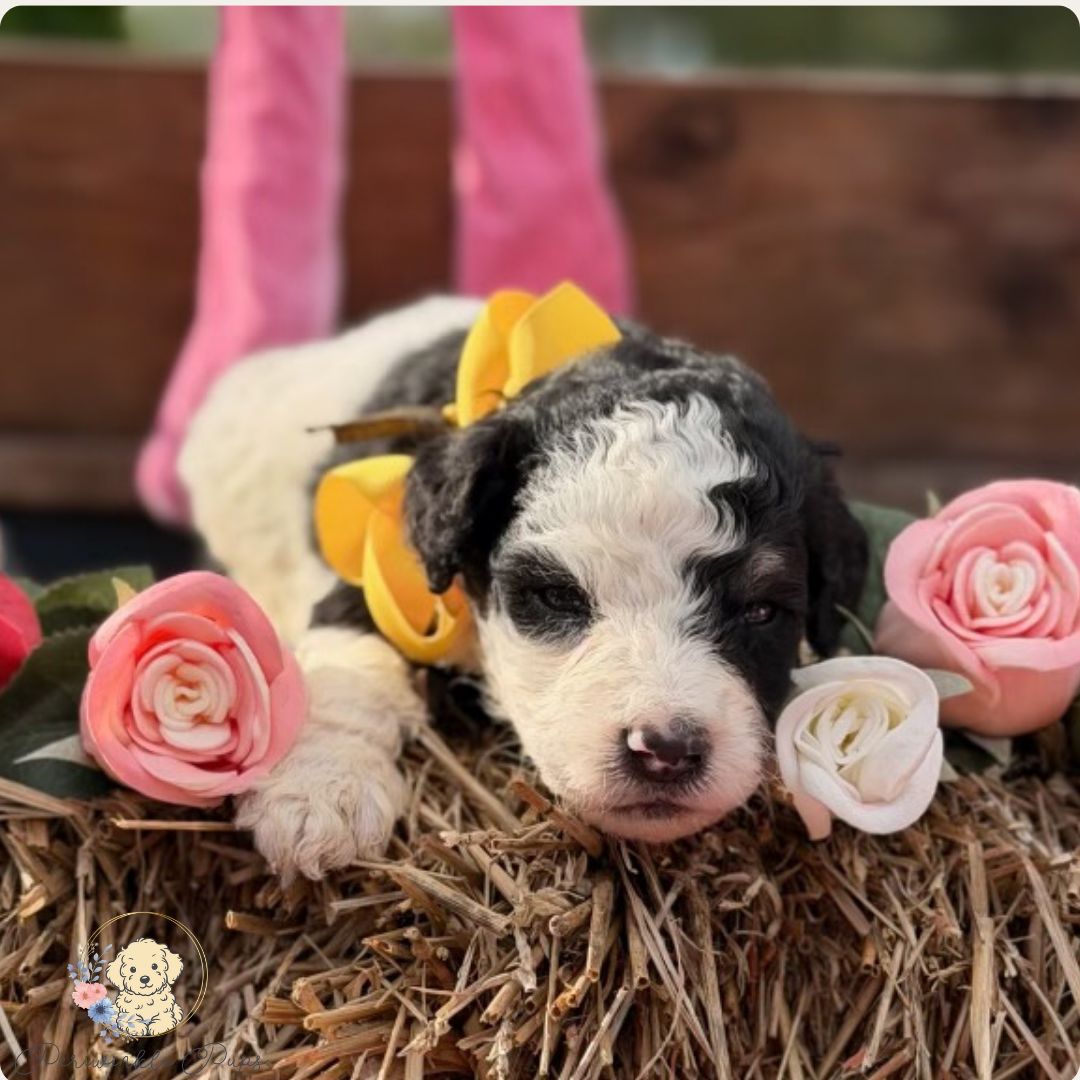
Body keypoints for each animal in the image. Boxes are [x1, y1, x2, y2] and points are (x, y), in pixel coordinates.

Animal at [180, 294, 867, 879]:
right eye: (557, 597)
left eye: (760, 611)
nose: (665, 749)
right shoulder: (379, 570)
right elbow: (352, 660)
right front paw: (321, 792)